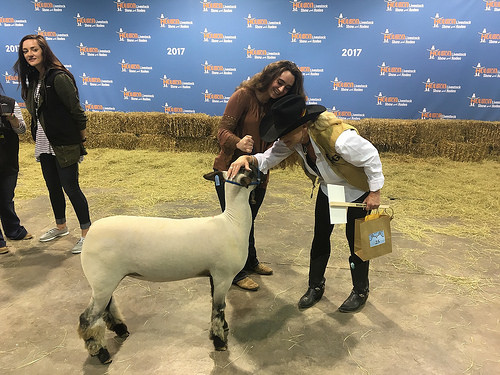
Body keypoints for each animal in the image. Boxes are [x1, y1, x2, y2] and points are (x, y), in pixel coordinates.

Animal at [77, 167, 262, 364]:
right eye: (246, 170)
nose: (261, 172)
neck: (233, 223)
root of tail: (90, 233)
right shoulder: (223, 276)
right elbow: (218, 309)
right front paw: (219, 341)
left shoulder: (214, 274)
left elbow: (217, 306)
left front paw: (222, 329)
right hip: (102, 280)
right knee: (87, 318)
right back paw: (101, 353)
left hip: (105, 280)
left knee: (107, 308)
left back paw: (121, 331)